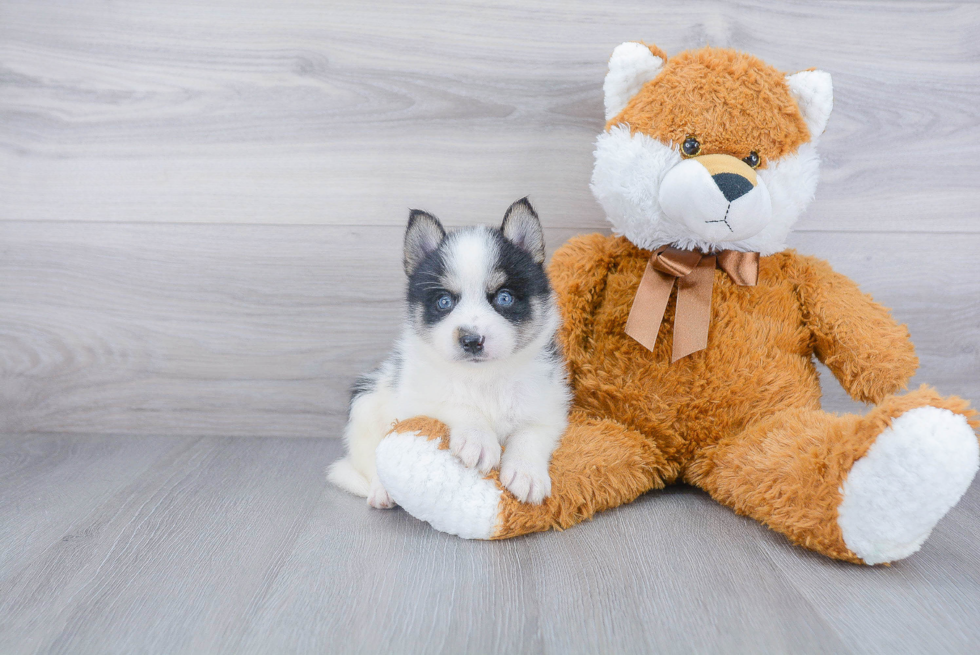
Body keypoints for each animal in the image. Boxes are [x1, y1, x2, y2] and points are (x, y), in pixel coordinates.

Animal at [330, 197, 576, 510]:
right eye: (444, 301)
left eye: (504, 297)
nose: (471, 340)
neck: (485, 376)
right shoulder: (416, 398)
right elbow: (455, 402)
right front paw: (477, 438)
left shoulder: (547, 406)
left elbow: (530, 434)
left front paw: (526, 472)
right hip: (365, 404)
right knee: (370, 459)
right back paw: (382, 490)